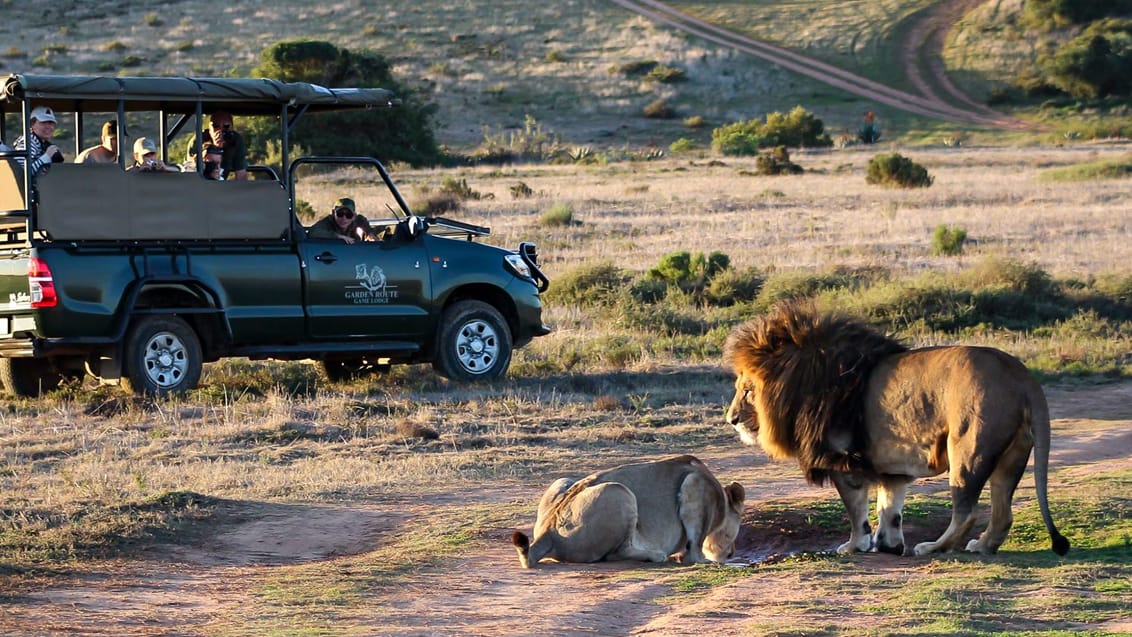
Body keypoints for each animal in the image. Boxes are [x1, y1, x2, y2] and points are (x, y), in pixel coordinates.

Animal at [724, 300, 1068, 556]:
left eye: (747, 390)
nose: (731, 419)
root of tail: (1021, 375)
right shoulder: (888, 467)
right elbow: (890, 506)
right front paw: (888, 543)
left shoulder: (840, 459)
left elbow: (856, 510)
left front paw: (855, 545)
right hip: (1012, 454)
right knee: (1002, 512)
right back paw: (982, 546)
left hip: (968, 447)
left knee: (967, 510)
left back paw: (933, 548)